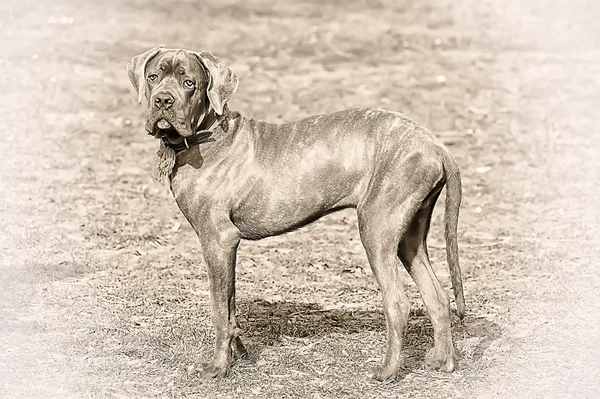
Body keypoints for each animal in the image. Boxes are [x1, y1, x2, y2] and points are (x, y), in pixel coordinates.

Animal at [125, 47, 464, 382]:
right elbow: (231, 304)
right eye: (153, 77)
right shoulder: (225, 248)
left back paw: (388, 371)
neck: (205, 136)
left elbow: (220, 309)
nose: (163, 101)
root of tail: (436, 146)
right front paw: (239, 354)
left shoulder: (217, 239)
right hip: (409, 235)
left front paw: (218, 367)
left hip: (376, 228)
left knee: (398, 303)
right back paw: (442, 362)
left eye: (189, 83)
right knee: (437, 296)